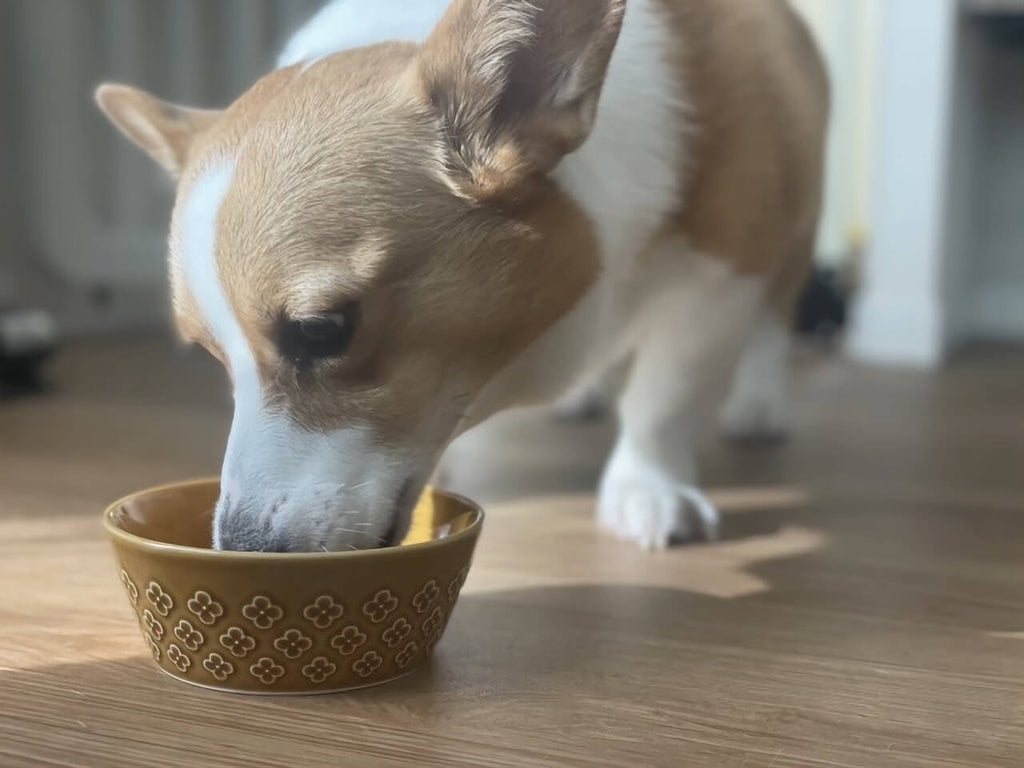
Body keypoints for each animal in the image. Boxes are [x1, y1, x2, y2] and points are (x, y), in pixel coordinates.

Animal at [96, 0, 827, 552]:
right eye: (212, 356)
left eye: (322, 329)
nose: (245, 548)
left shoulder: (724, 272)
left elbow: (665, 395)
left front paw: (647, 490)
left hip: (797, 229)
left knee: (775, 321)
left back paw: (758, 406)